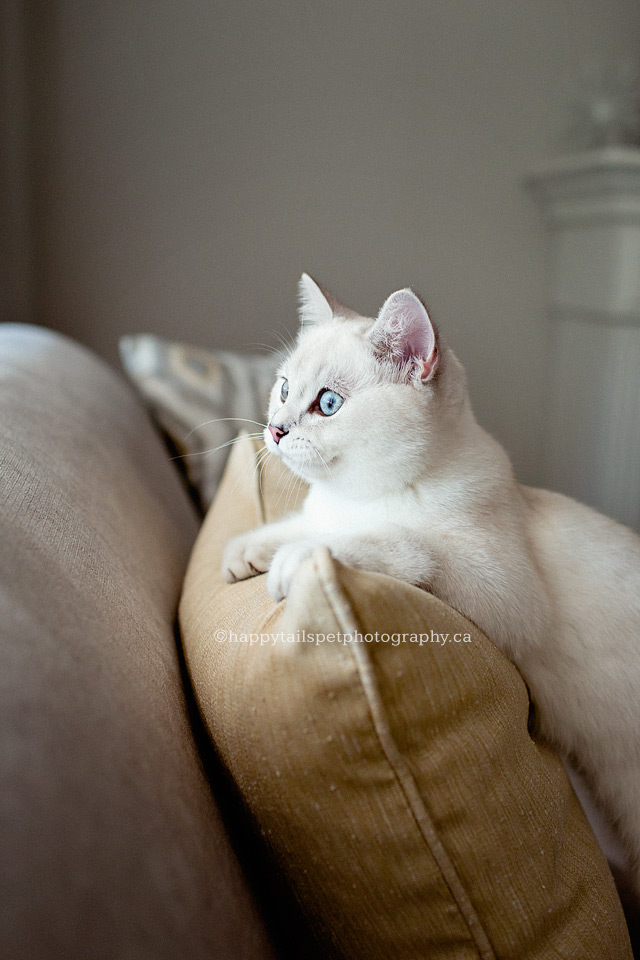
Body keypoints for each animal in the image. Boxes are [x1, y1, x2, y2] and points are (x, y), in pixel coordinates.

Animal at [222, 272, 640, 892]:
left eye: (328, 404)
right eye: (283, 388)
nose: (274, 431)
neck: (365, 497)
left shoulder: (504, 592)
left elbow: (393, 542)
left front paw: (295, 560)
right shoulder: (327, 511)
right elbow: (302, 522)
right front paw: (245, 550)